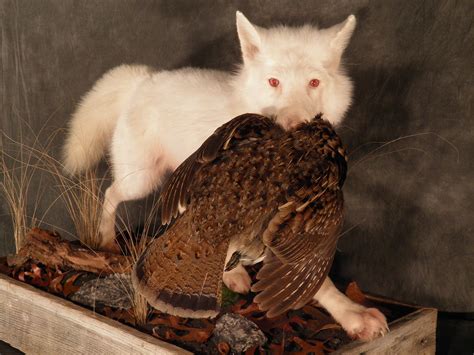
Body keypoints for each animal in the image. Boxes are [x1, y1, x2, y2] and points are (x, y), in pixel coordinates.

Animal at [64, 10, 388, 340]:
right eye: (274, 82)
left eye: (314, 82)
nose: (294, 127)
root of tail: (143, 79)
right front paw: (353, 315)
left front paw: (351, 313)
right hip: (140, 181)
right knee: (110, 194)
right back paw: (105, 239)